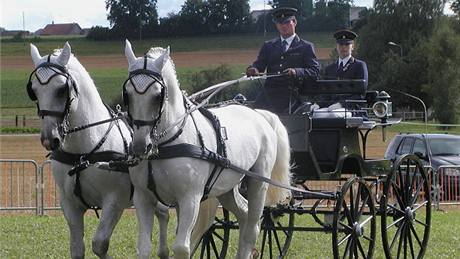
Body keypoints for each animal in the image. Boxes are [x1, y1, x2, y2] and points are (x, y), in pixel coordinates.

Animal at [29, 42, 172, 259]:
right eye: (34, 91)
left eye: (61, 89)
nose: (49, 138)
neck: (83, 151)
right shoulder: (69, 203)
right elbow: (77, 249)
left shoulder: (114, 201)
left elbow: (99, 244)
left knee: (163, 214)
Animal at [122, 39, 292, 258]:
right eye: (127, 94)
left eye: (158, 95)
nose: (141, 146)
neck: (165, 145)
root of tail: (259, 114)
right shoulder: (143, 198)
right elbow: (143, 248)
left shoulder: (190, 199)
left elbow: (182, 247)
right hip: (227, 188)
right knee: (244, 214)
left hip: (258, 182)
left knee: (253, 227)